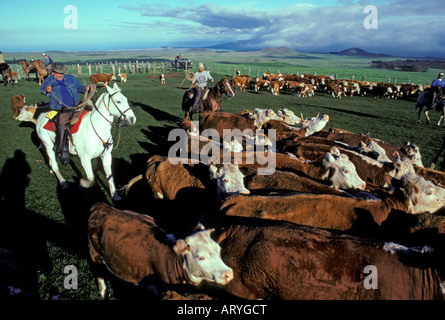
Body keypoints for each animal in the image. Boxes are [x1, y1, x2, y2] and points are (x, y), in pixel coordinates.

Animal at [86, 204, 232, 298]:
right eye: (200, 257)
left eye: (219, 249)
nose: (229, 274)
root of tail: (101, 206)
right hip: (94, 254)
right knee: (99, 276)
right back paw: (103, 294)